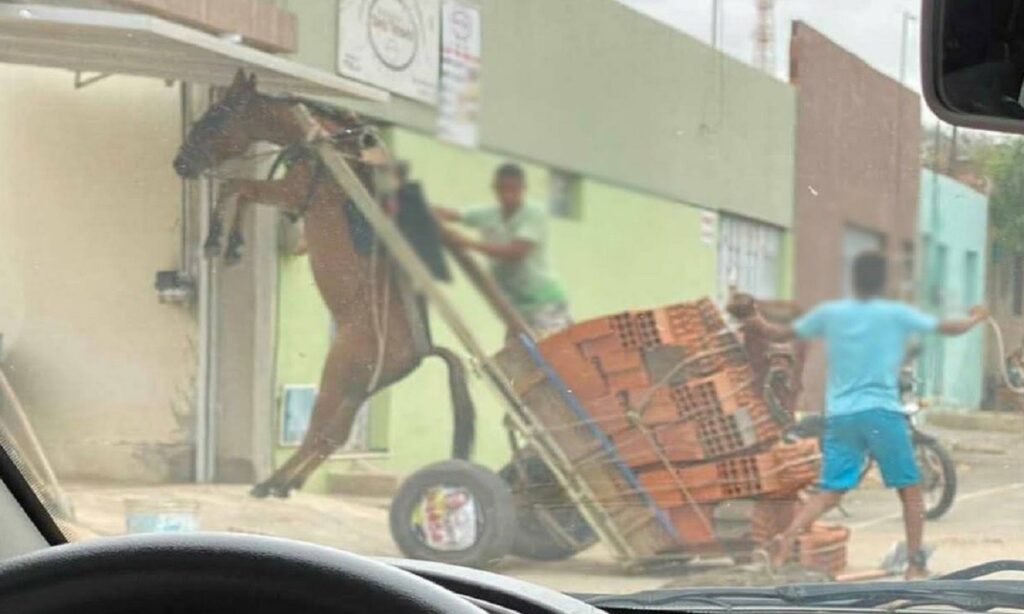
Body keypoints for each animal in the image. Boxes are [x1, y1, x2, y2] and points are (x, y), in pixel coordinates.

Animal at [175, 69, 475, 497]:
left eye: (217, 116)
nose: (180, 162)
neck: (324, 146)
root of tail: (424, 351)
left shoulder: (289, 192)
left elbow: (237, 188)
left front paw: (220, 242)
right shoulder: (286, 196)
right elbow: (242, 193)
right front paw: (232, 244)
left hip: (338, 373)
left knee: (322, 429)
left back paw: (272, 482)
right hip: (358, 389)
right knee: (334, 434)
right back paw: (287, 482)